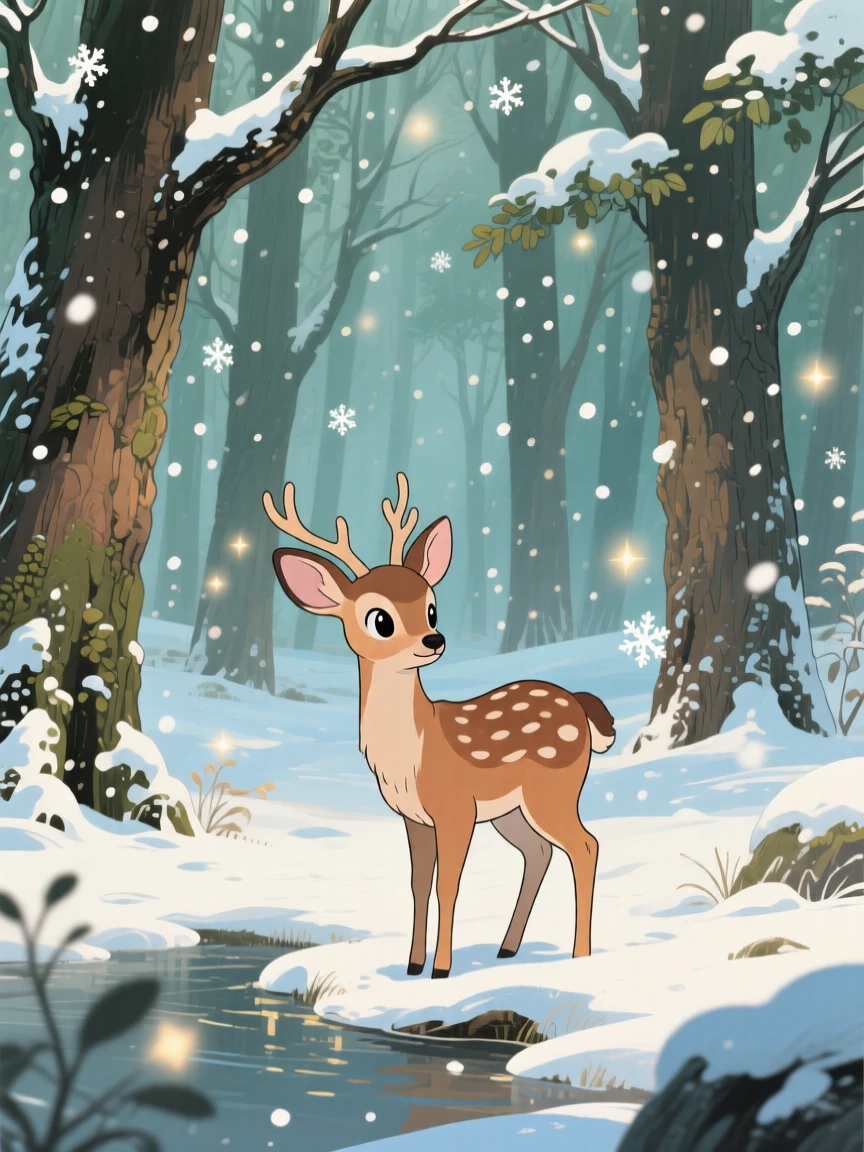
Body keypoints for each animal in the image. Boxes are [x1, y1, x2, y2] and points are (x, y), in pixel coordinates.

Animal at [263, 473, 615, 979]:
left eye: (432, 607)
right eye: (380, 619)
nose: (435, 639)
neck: (412, 752)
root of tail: (582, 709)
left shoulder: (456, 808)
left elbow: (449, 883)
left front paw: (442, 970)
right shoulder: (414, 817)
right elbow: (417, 884)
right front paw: (412, 964)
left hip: (554, 790)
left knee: (586, 846)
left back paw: (579, 955)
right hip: (512, 810)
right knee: (539, 852)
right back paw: (507, 948)